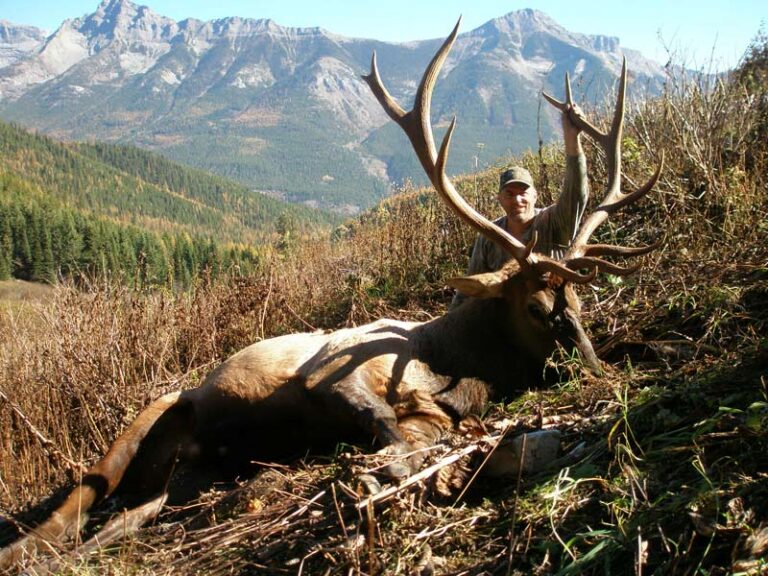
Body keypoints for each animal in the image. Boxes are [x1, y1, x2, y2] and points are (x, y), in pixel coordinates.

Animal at [0, 18, 660, 572]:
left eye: (579, 302)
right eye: (536, 305)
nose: (596, 367)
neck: (453, 366)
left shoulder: (432, 416)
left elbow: (422, 439)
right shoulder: (333, 373)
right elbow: (385, 428)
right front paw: (380, 482)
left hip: (181, 476)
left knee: (123, 520)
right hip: (151, 414)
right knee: (75, 501)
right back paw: (25, 549)